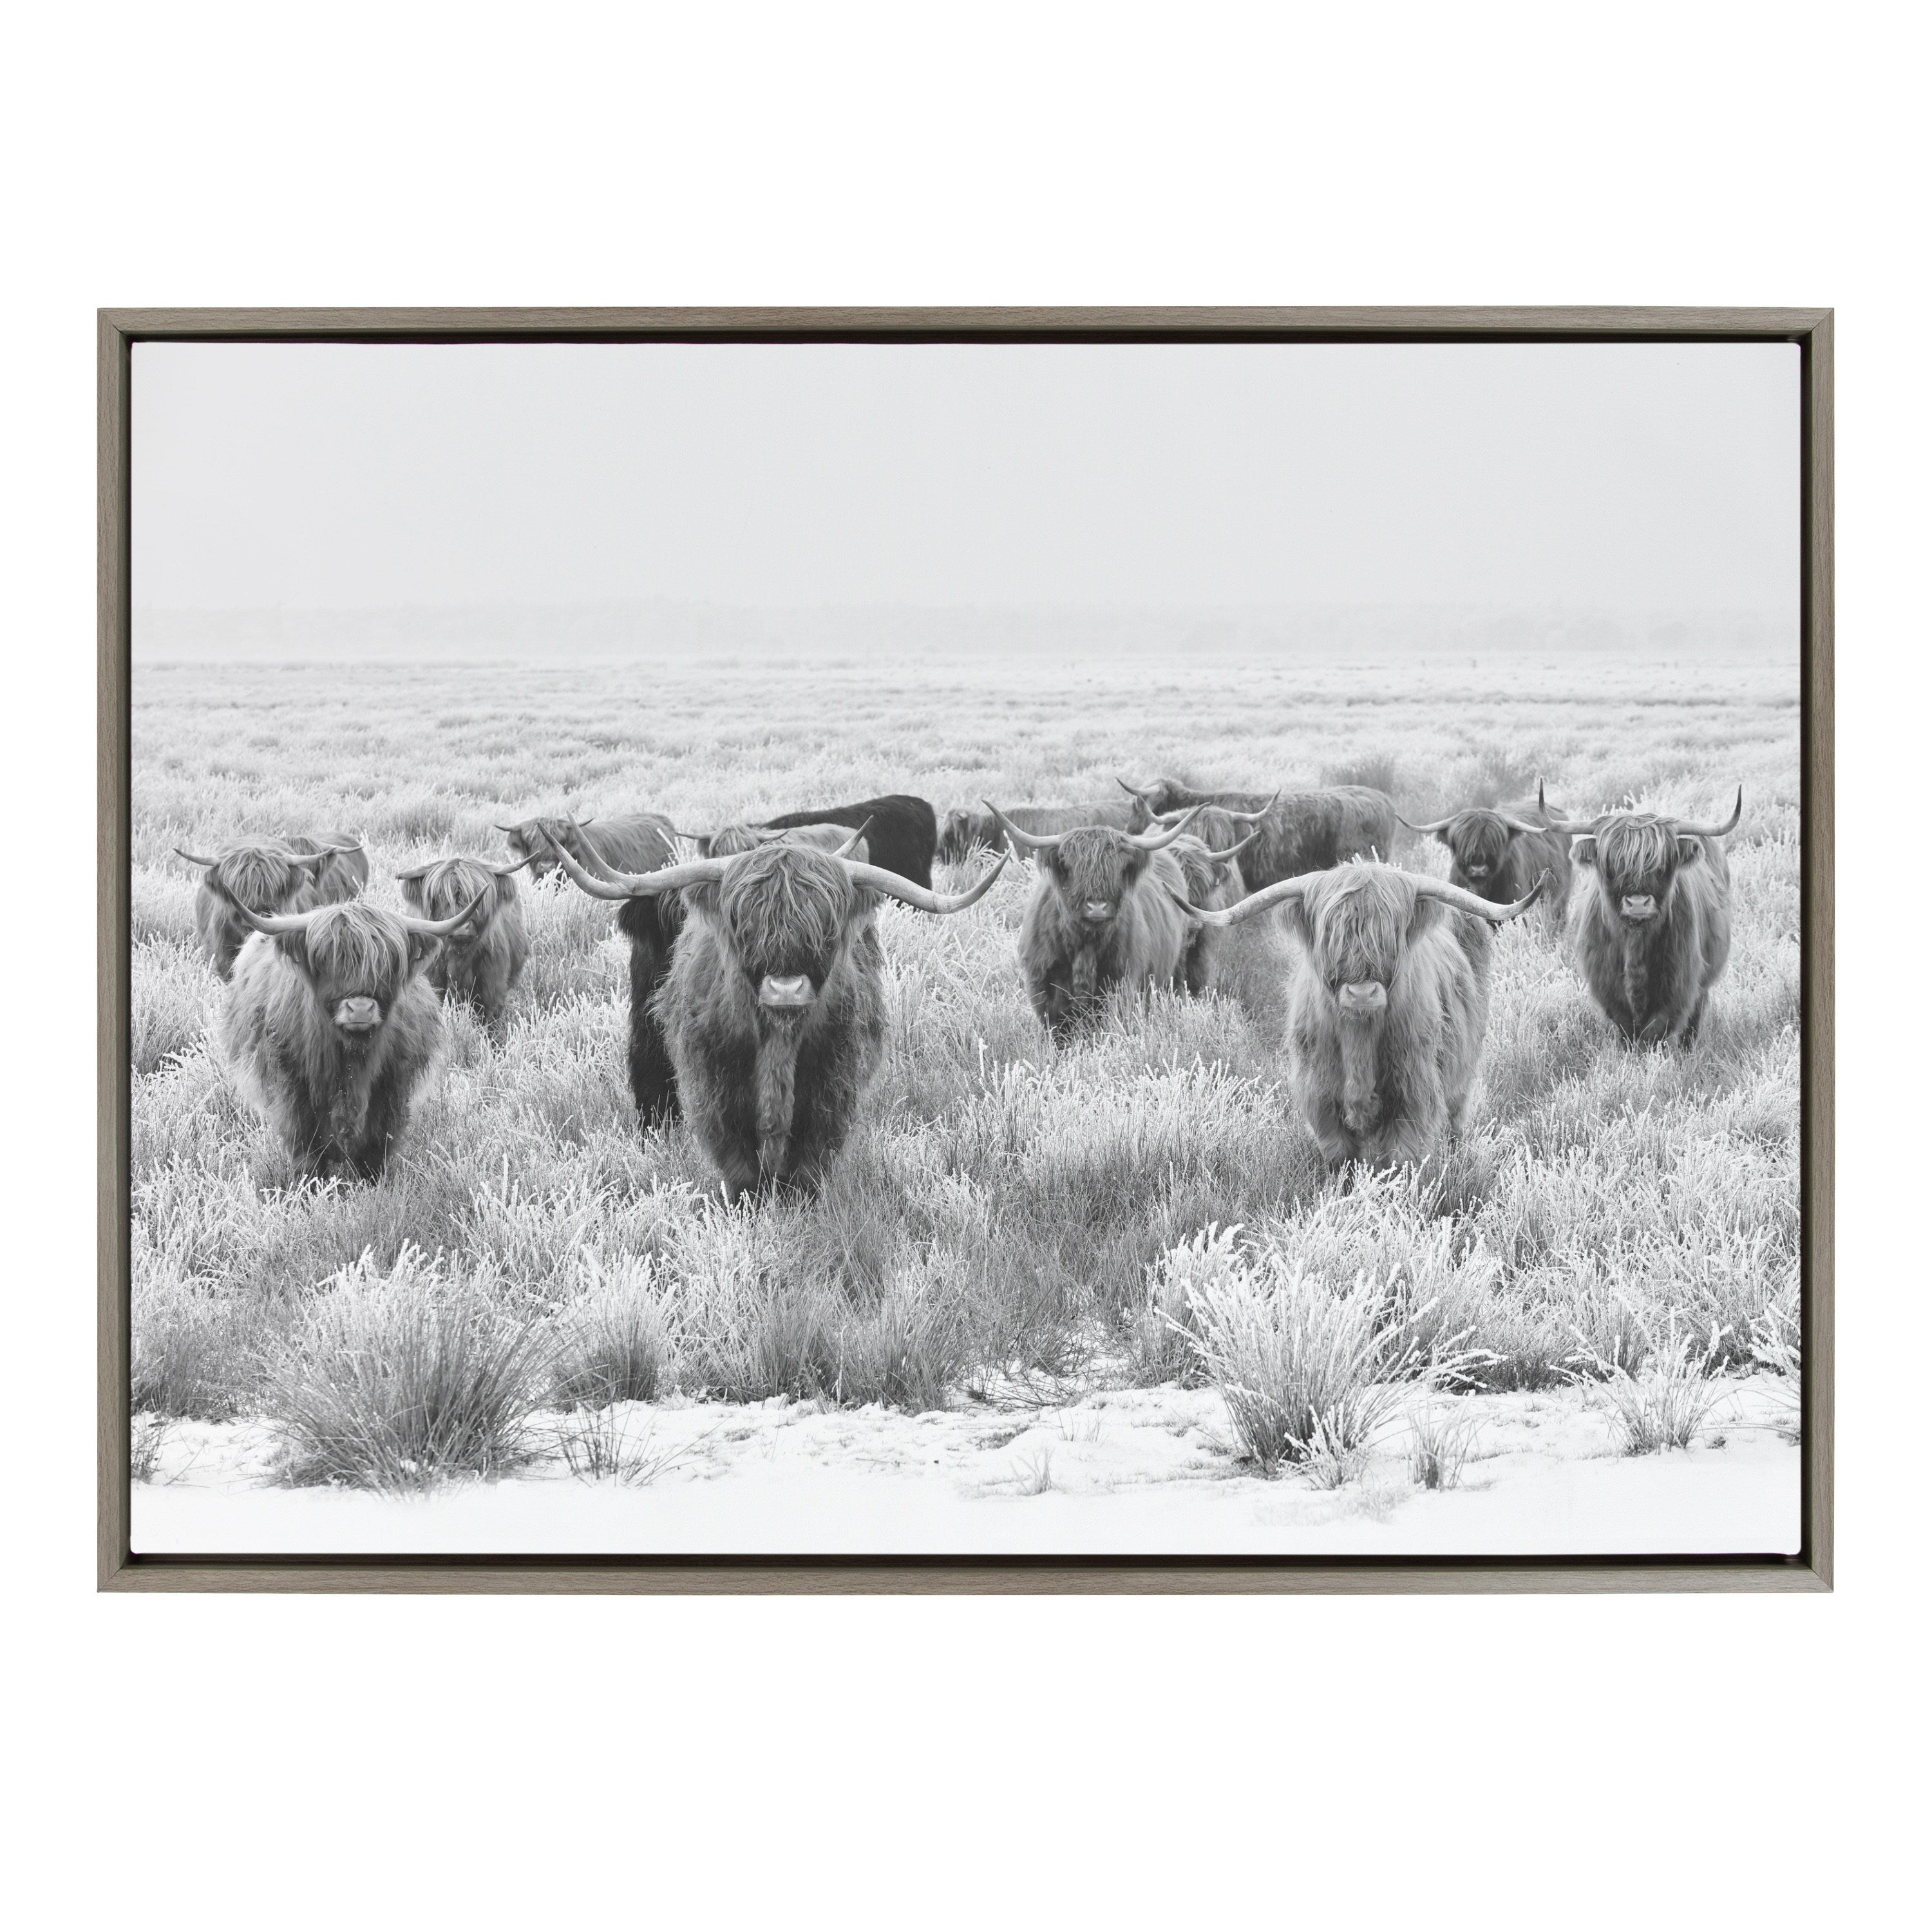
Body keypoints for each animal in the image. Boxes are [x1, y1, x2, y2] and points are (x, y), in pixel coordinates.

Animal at [217, 889, 489, 1181]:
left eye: (389, 963)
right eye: (326, 959)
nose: (360, 1008)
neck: (352, 1059)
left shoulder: (393, 1085)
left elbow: (377, 1144)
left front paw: (372, 1182)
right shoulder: (293, 1086)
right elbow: (306, 1145)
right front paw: (310, 1184)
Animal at [542, 834, 1007, 1200]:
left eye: (826, 926)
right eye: (743, 921)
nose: (786, 989)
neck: (777, 1042)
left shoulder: (832, 1087)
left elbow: (808, 1166)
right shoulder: (715, 1088)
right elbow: (741, 1166)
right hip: (645, 1027)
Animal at [984, 802, 1223, 1041]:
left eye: (1118, 868)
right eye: (1071, 866)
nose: (1097, 907)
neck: (1085, 944)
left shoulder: (1121, 985)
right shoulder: (1047, 990)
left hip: (1176, 968)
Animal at [1170, 861, 1545, 1168]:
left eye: (1391, 934)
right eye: (1330, 933)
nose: (1362, 993)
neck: (1359, 1040)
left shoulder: (1413, 1097)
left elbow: (1400, 1163)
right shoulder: (1322, 1100)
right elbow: (1342, 1161)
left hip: (1462, 1075)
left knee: (1455, 1119)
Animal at [1552, 787, 1742, 1047]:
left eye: (1662, 863)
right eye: (1611, 864)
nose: (1638, 904)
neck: (1635, 941)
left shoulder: (1679, 985)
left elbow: (1654, 1032)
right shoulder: (1608, 990)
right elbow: (1628, 1032)